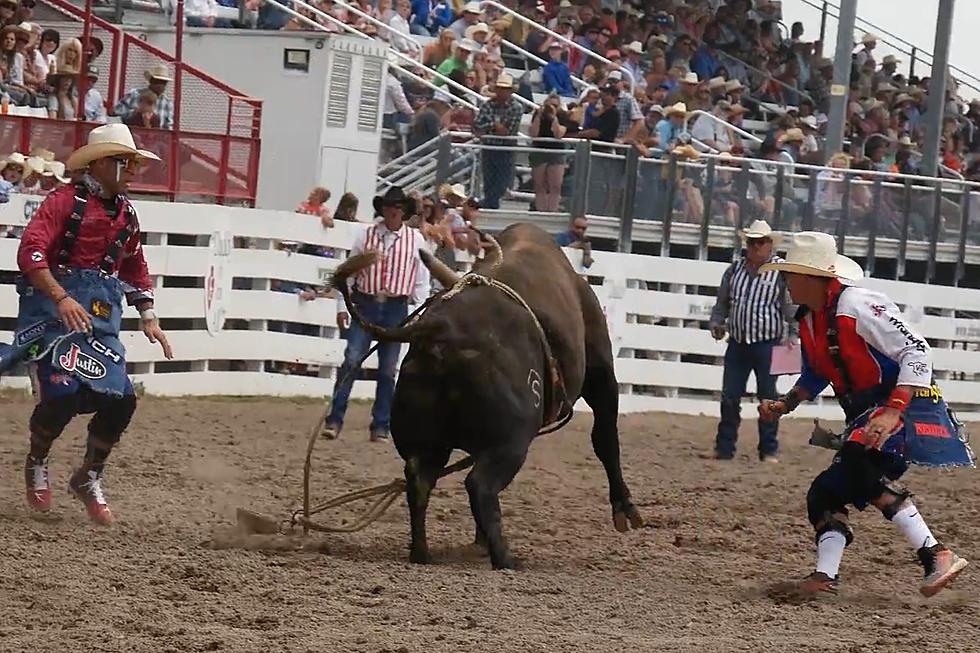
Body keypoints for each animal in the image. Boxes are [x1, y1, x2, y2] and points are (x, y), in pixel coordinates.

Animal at [332, 222, 644, 568]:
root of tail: (439, 329)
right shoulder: (601, 374)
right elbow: (605, 439)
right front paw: (625, 509)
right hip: (512, 440)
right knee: (479, 485)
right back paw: (505, 557)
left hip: (425, 437)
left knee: (419, 480)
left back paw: (422, 551)